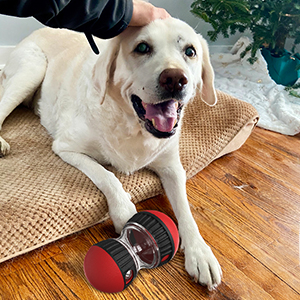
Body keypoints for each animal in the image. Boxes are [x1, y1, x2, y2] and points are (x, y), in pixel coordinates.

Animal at [0, 17, 223, 290]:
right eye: (142, 47)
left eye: (190, 51)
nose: (175, 79)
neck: (134, 126)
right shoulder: (66, 147)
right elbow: (106, 175)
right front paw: (123, 209)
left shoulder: (172, 167)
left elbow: (185, 210)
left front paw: (200, 252)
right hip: (32, 68)